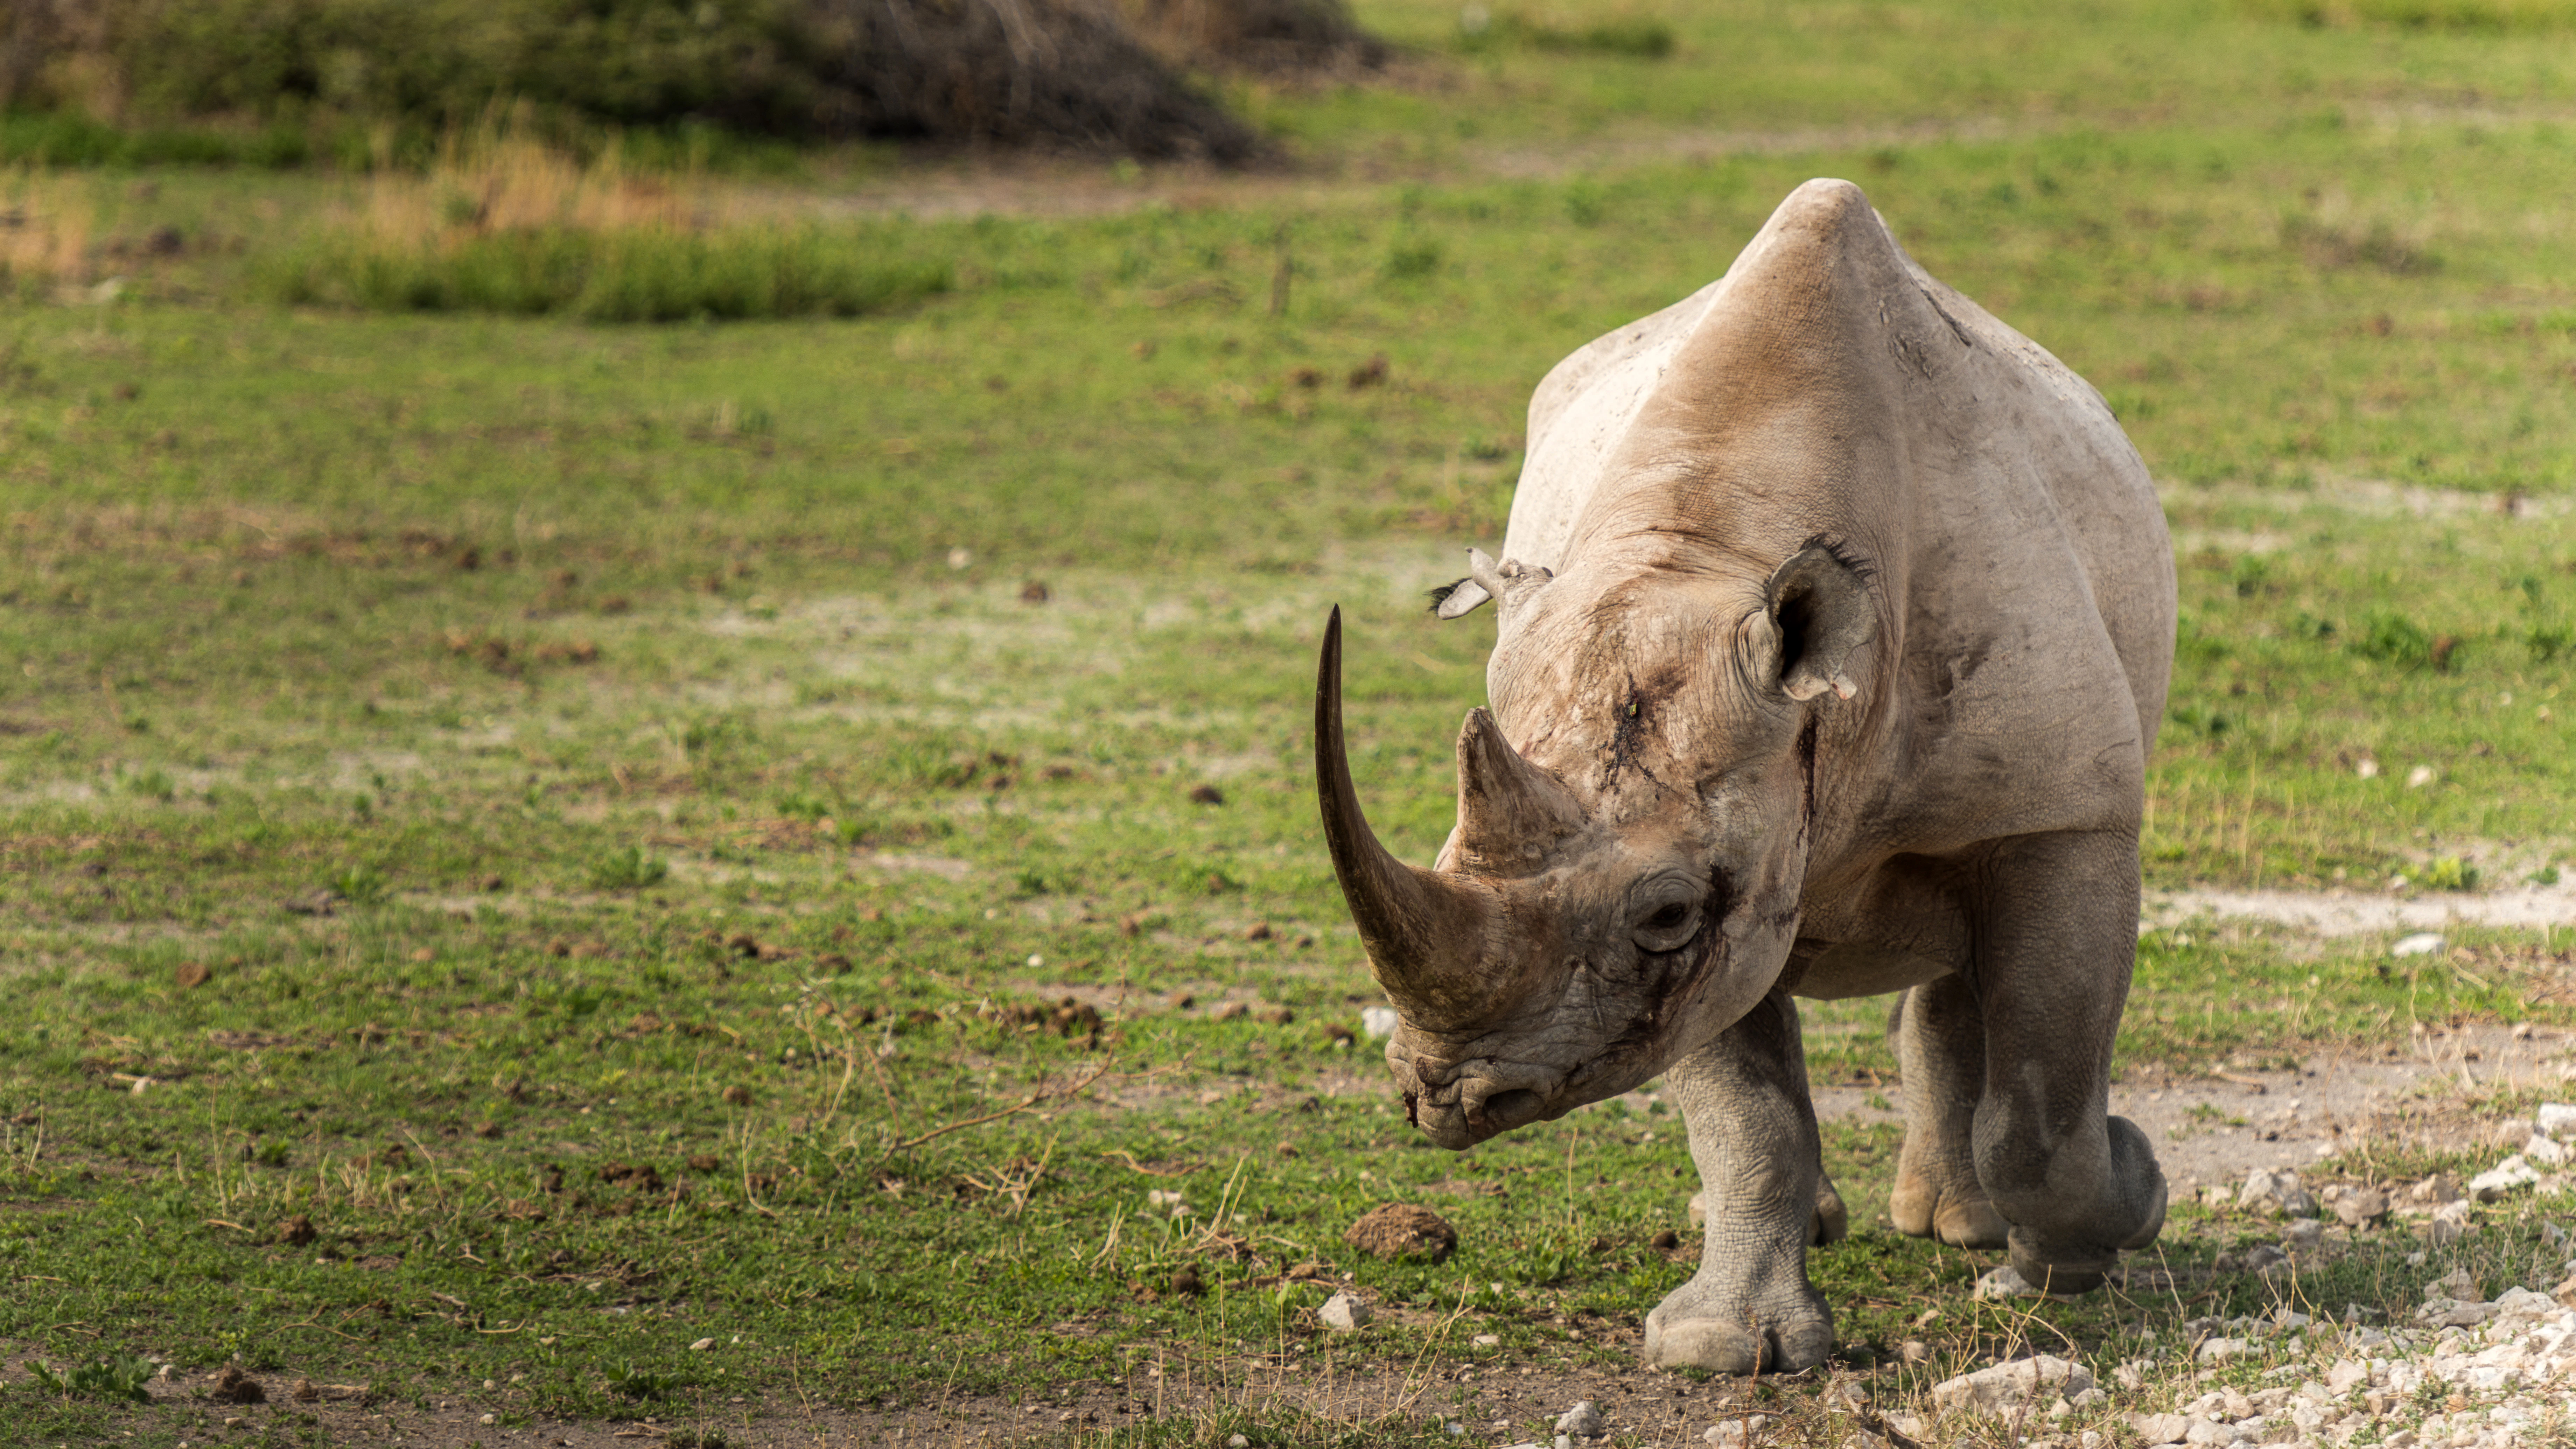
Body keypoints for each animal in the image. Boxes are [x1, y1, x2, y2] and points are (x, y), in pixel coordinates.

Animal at [1314, 179, 2174, 1374]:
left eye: (1666, 913)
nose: (1446, 1095)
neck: (1713, 546)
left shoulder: (2062, 815)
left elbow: (2043, 1111)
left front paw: (2109, 1219)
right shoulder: (1722, 879)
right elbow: (1745, 1112)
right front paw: (1725, 1348)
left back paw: (1960, 1227)